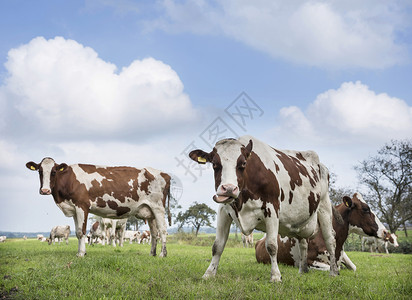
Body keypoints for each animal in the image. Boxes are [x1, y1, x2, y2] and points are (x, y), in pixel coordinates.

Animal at [25, 158, 171, 256]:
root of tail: (164, 174)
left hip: (158, 208)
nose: (45, 190)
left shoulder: (82, 206)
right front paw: (80, 252)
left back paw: (162, 254)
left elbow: (81, 232)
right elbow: (77, 232)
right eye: (40, 171)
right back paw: (152, 253)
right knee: (154, 233)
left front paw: (81, 254)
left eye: (54, 172)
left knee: (162, 230)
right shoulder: (74, 209)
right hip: (150, 211)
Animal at [190, 135, 338, 282]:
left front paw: (276, 276)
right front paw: (209, 274)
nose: (229, 189)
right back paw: (302, 271)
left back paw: (333, 272)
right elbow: (217, 246)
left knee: (330, 240)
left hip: (324, 206)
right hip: (301, 221)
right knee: (303, 242)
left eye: (243, 163)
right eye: (215, 164)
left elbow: (272, 245)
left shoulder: (272, 209)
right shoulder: (223, 210)